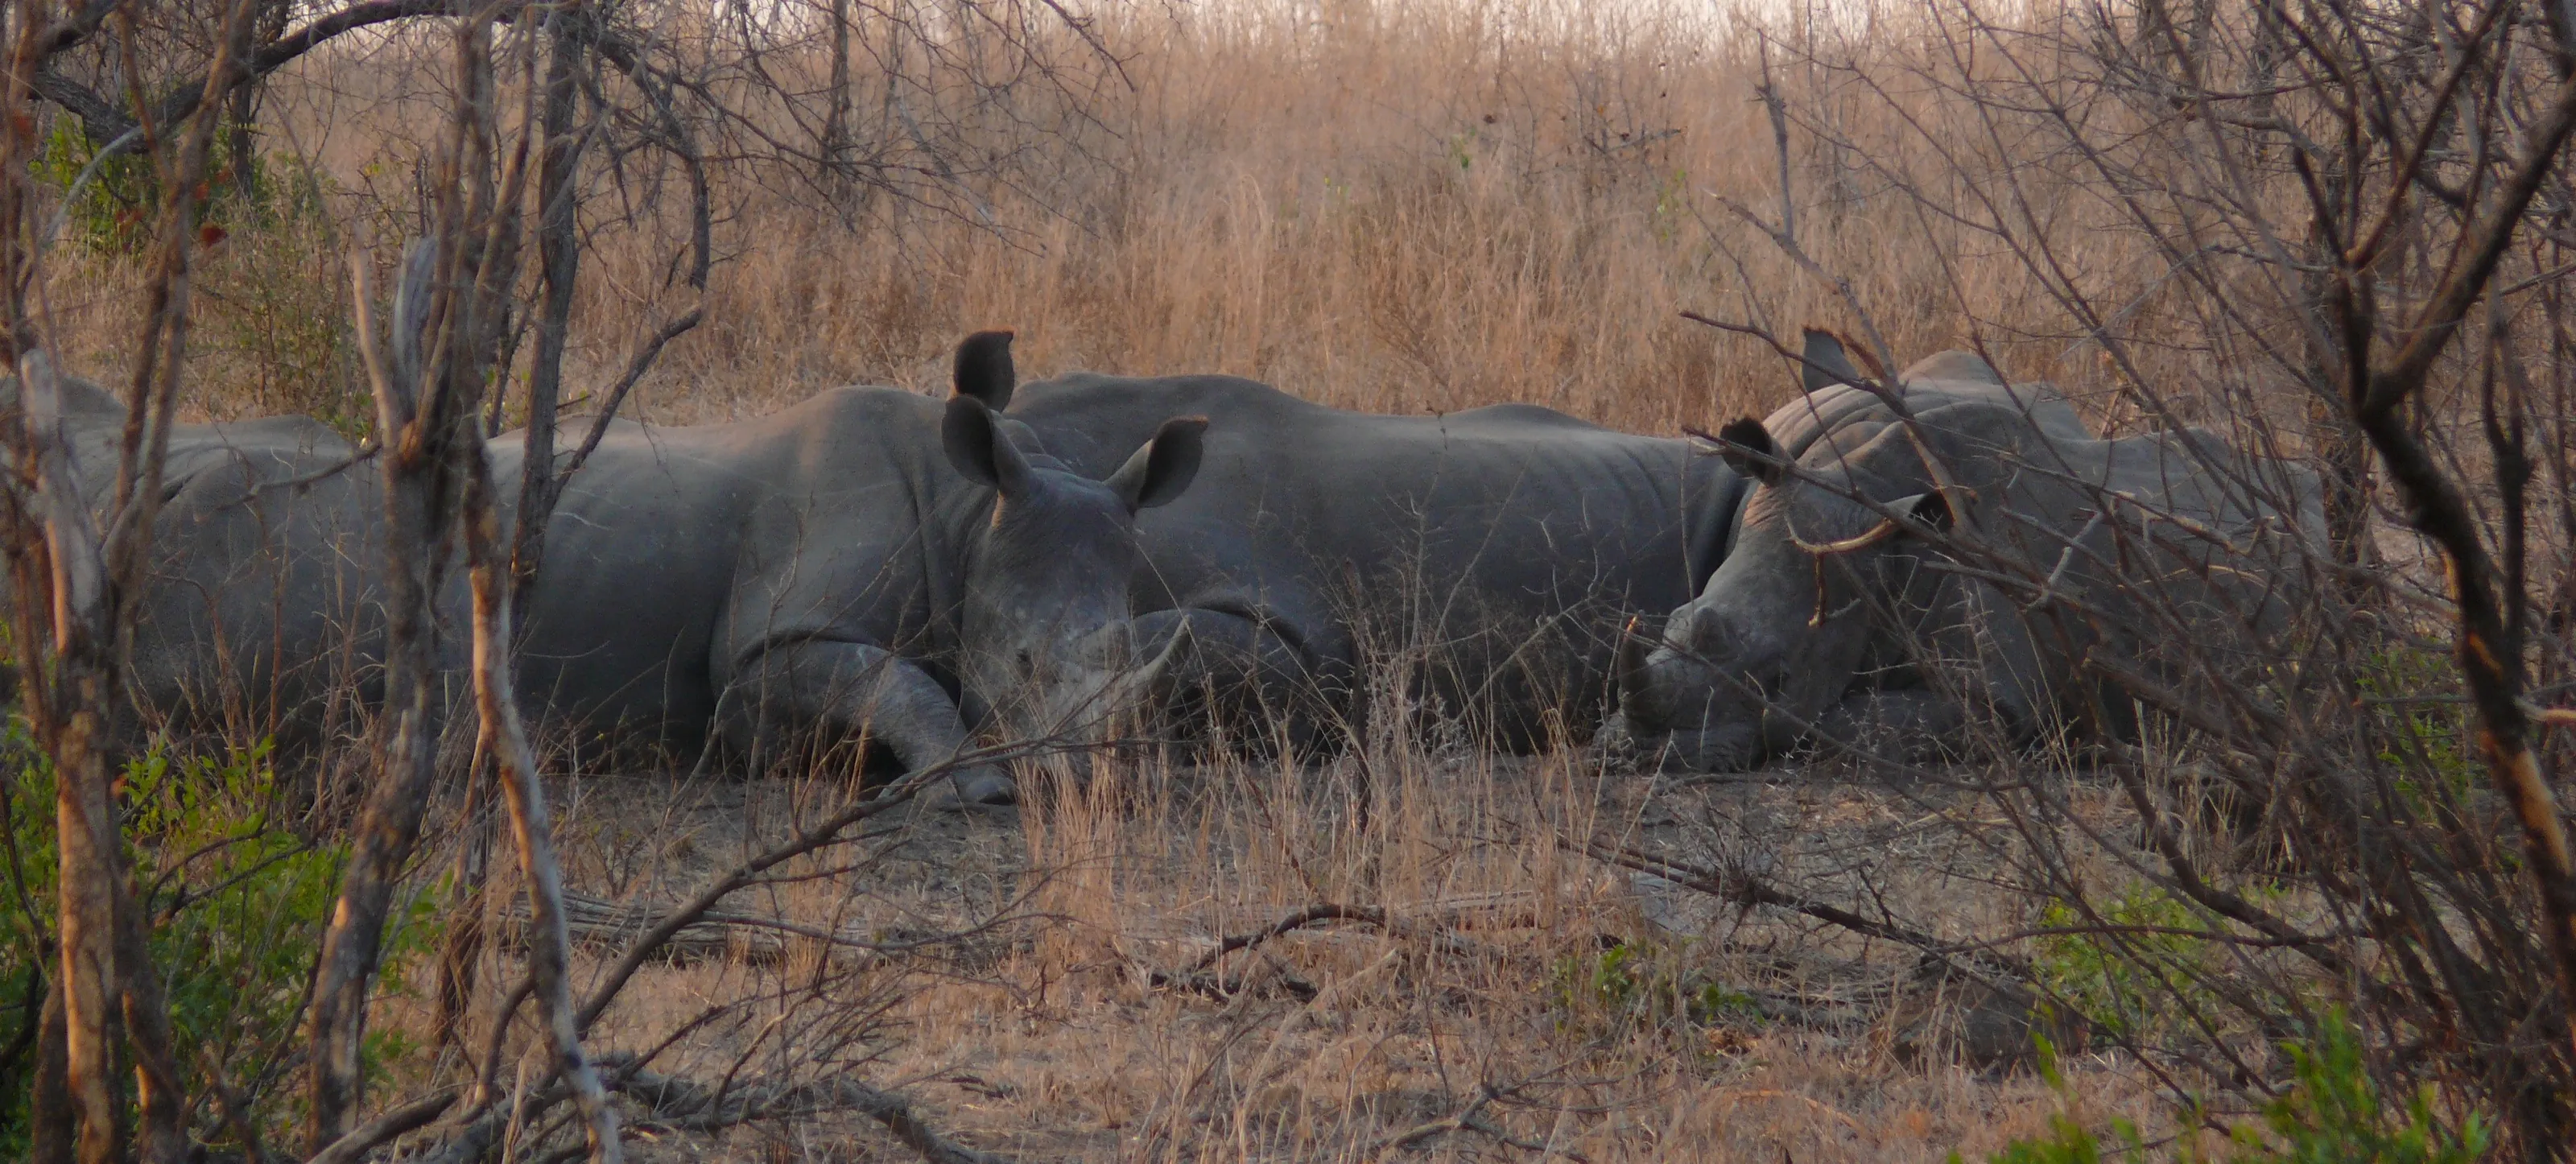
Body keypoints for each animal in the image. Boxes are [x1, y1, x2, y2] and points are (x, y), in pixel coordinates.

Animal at [499, 332, 1206, 804]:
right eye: (1024, 660)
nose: (1103, 783)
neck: (971, 519)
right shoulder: (764, 649)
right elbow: (890, 680)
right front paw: (972, 790)